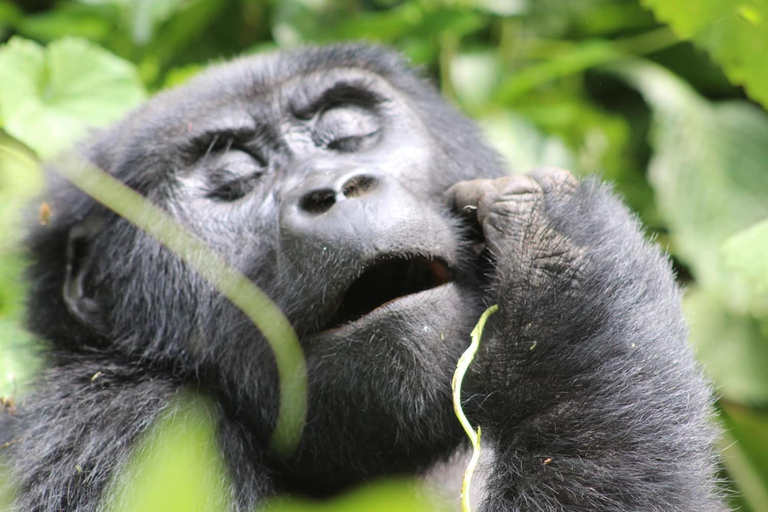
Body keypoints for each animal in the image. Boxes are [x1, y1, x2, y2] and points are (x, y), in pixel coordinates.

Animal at [0, 45, 724, 512]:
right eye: (233, 179)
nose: (336, 189)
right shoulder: (120, 431)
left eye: (346, 132)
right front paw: (571, 269)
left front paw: (555, 257)